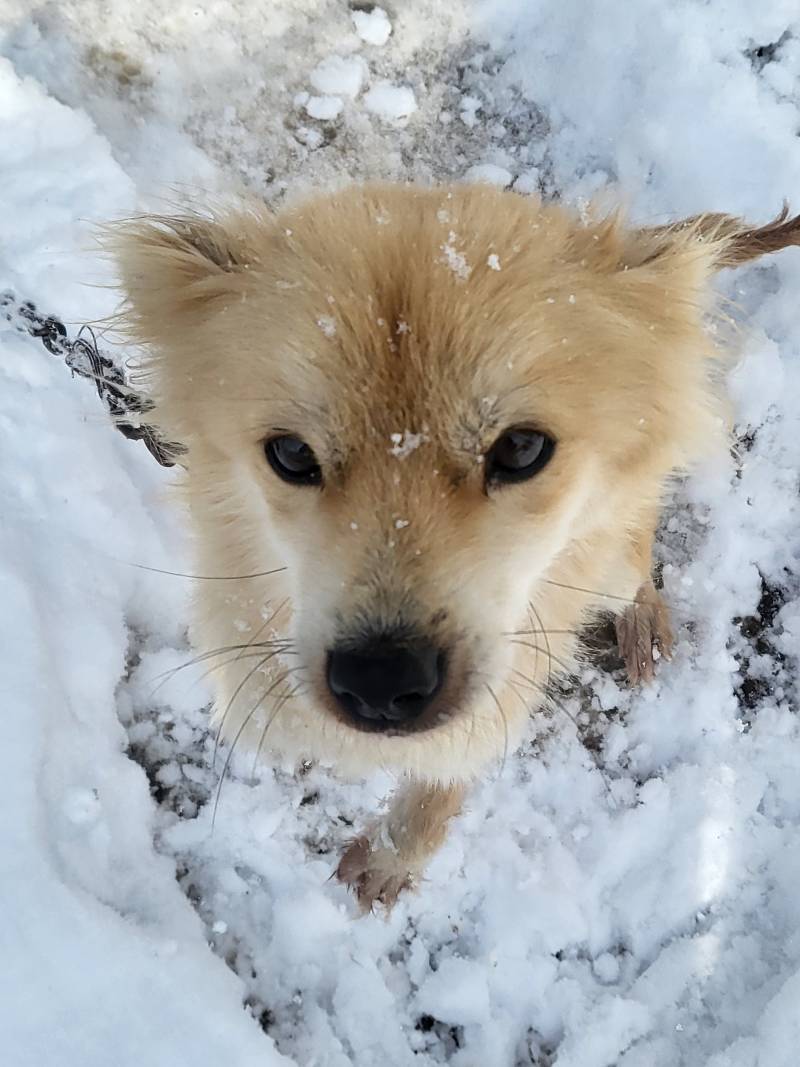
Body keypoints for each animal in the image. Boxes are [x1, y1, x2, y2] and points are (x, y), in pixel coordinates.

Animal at [114, 183, 800, 909]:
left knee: (636, 553)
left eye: (522, 448)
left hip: (608, 563)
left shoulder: (512, 669)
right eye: (292, 454)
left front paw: (396, 853)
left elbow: (449, 772)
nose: (380, 681)